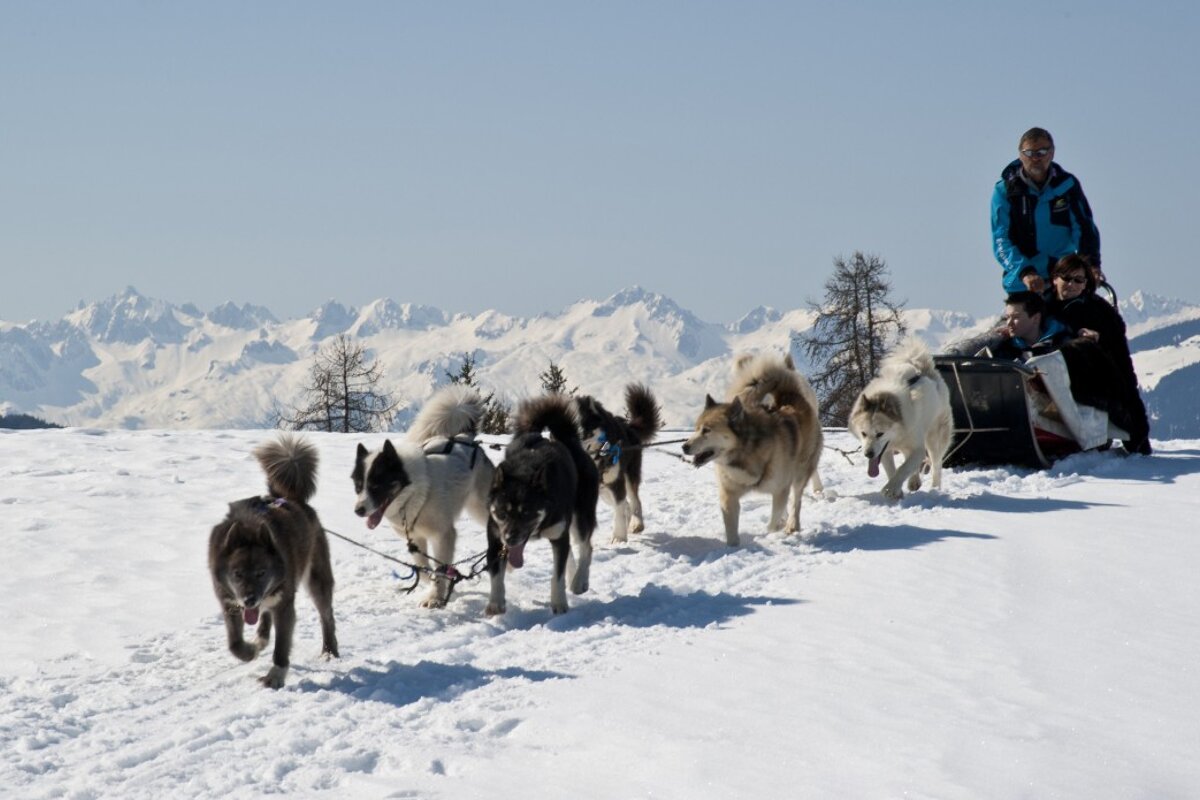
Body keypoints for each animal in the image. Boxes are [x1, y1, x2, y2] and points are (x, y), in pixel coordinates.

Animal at [484, 398, 600, 618]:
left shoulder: (558, 535)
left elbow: (557, 575)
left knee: (585, 547)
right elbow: (495, 575)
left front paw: (559, 602)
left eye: (526, 513)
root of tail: (567, 440)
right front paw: (495, 602)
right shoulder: (495, 540)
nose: (510, 538)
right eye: (502, 514)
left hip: (581, 516)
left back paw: (579, 580)